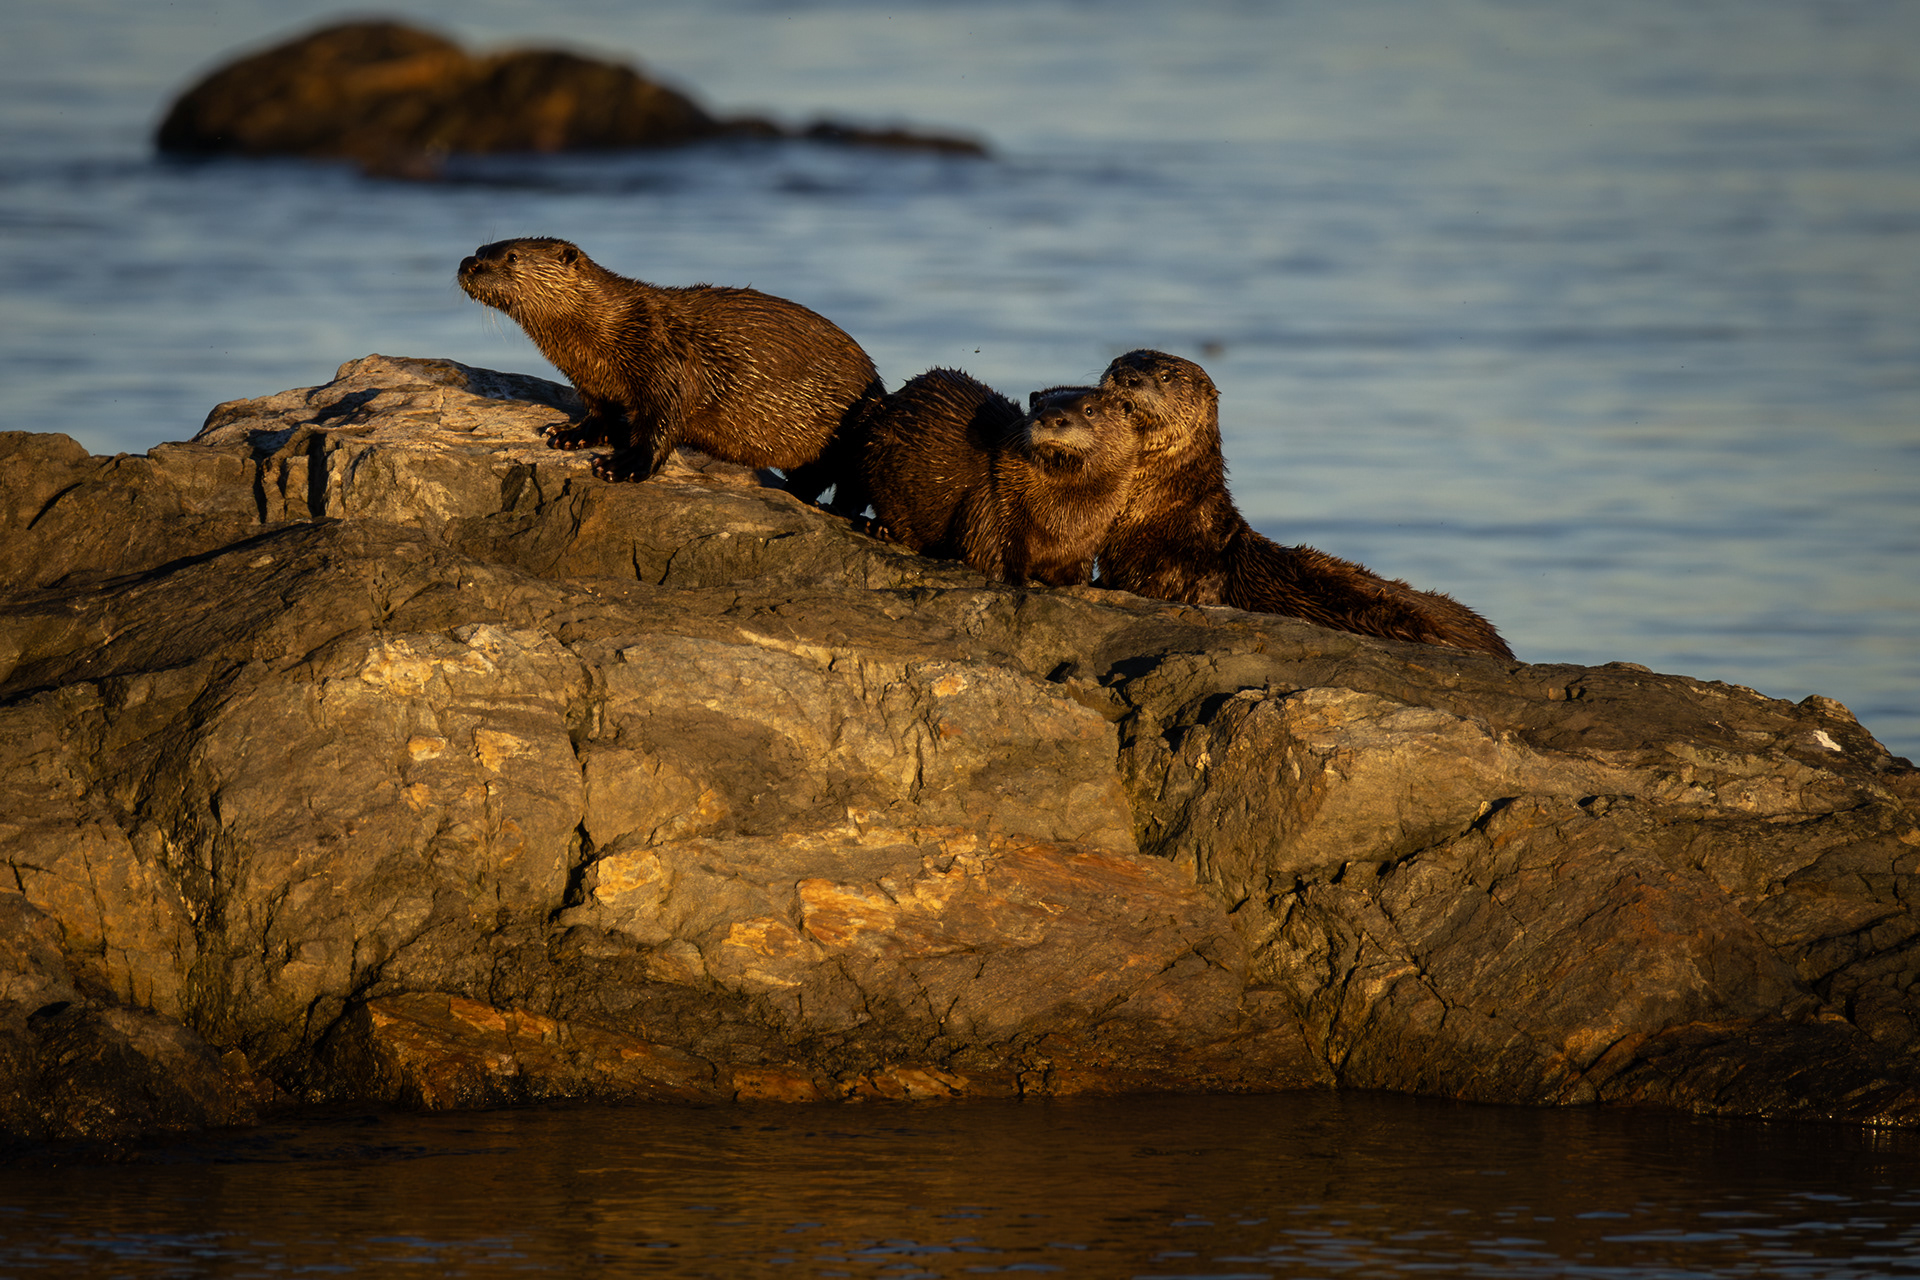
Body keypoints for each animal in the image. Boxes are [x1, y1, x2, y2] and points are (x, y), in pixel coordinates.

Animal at [457, 237, 882, 511]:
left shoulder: (668, 367)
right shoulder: (590, 380)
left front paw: (623, 465)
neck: (605, 333)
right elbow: (599, 411)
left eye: (512, 257)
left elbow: (662, 425)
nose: (468, 264)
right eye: (480, 249)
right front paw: (572, 434)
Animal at [862, 369, 1139, 586]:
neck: (1061, 522)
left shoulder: (1085, 545)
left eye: (1090, 410)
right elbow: (992, 560)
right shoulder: (994, 506)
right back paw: (880, 529)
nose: (1050, 417)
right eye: (1037, 407)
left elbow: (1076, 578)